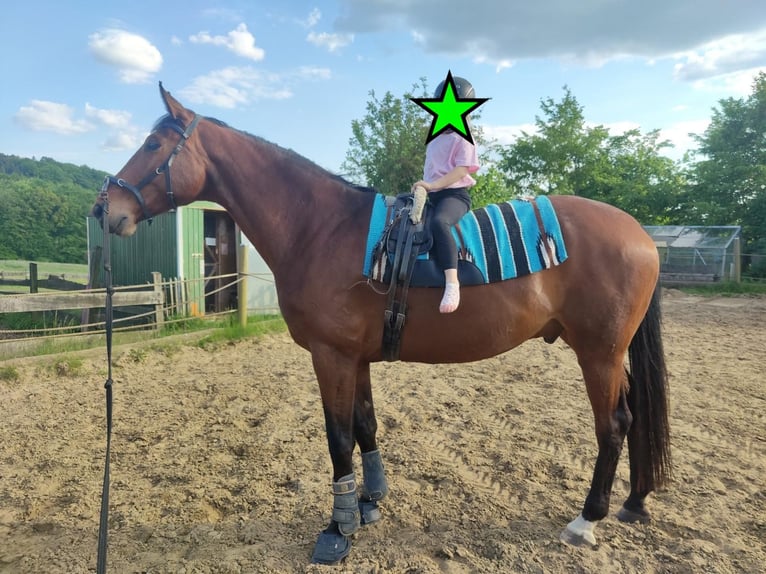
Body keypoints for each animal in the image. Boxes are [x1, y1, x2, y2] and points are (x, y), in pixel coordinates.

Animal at [91, 83, 671, 565]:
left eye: (152, 145)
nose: (104, 208)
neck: (322, 228)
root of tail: (640, 234)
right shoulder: (357, 358)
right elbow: (366, 426)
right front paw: (369, 503)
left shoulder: (331, 356)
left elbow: (338, 438)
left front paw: (338, 528)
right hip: (608, 354)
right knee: (634, 416)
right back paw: (634, 501)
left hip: (598, 353)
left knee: (613, 424)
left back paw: (587, 519)